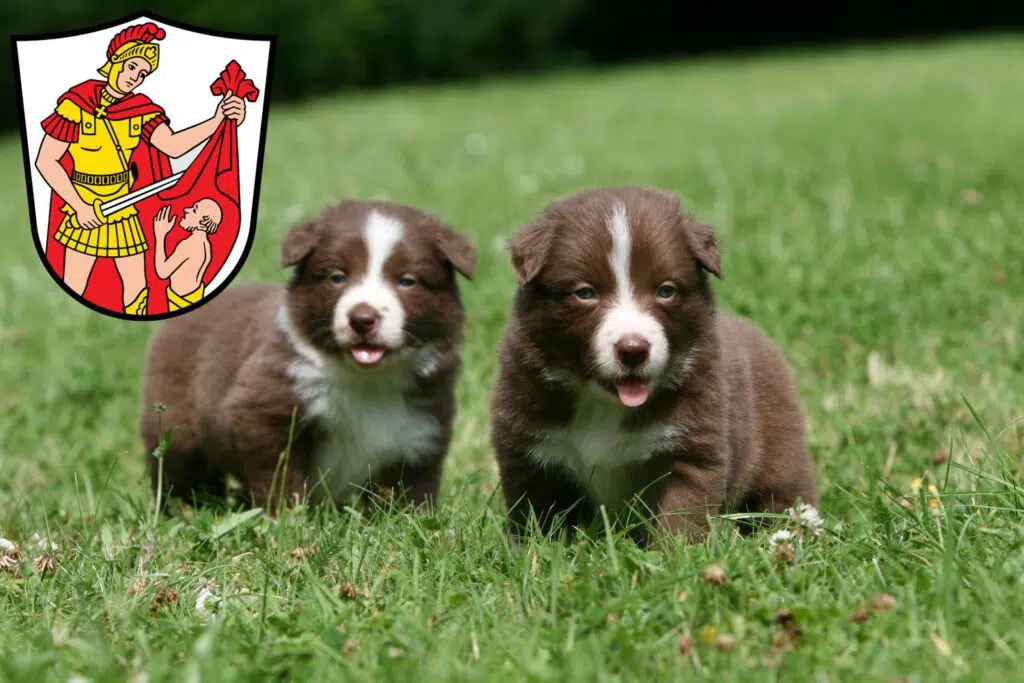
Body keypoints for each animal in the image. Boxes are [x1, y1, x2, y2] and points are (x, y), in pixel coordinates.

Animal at [138, 197, 477, 511]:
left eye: (407, 281)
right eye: (337, 277)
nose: (362, 318)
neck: (366, 381)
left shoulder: (422, 428)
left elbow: (411, 488)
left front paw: (410, 521)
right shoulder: (266, 411)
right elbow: (280, 476)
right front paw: (286, 520)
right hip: (176, 422)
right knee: (178, 469)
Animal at [491, 185, 819, 544]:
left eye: (666, 290)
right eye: (585, 292)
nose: (633, 349)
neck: (603, 405)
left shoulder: (689, 451)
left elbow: (679, 517)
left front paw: (674, 554)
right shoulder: (528, 451)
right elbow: (535, 517)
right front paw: (534, 550)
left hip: (780, 451)